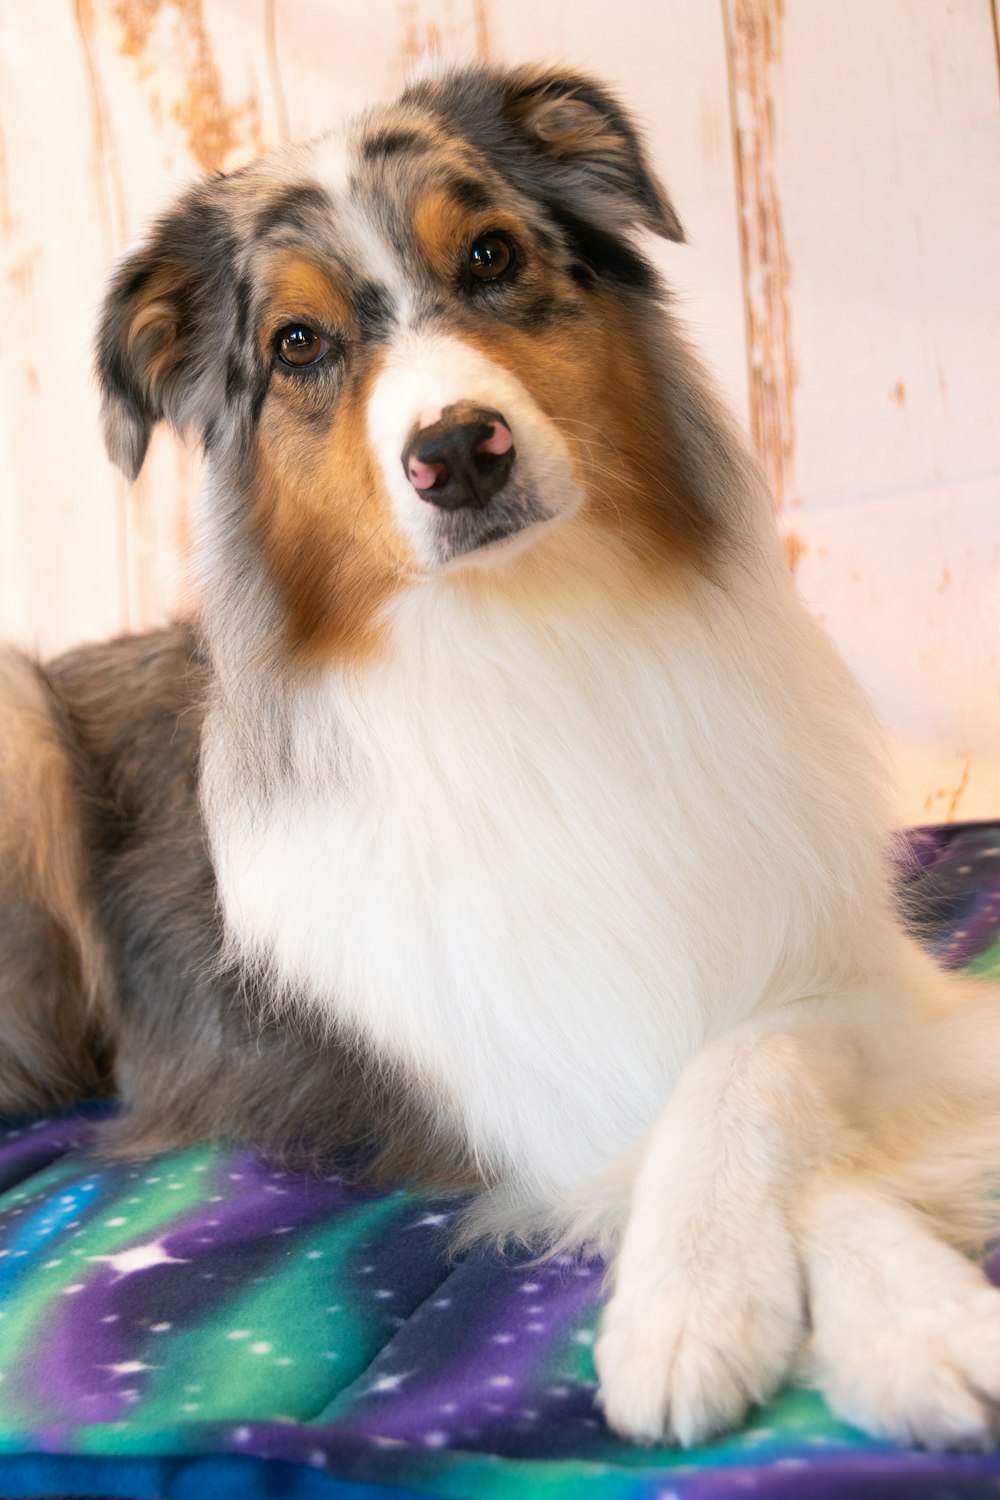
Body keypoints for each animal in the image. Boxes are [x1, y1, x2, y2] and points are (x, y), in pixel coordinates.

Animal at [1, 61, 1000, 1452]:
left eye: (489, 254)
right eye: (297, 344)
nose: (458, 452)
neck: (525, 637)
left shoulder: (853, 974)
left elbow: (758, 1060)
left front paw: (894, 1317)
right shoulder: (535, 1080)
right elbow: (755, 1131)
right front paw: (722, 1312)